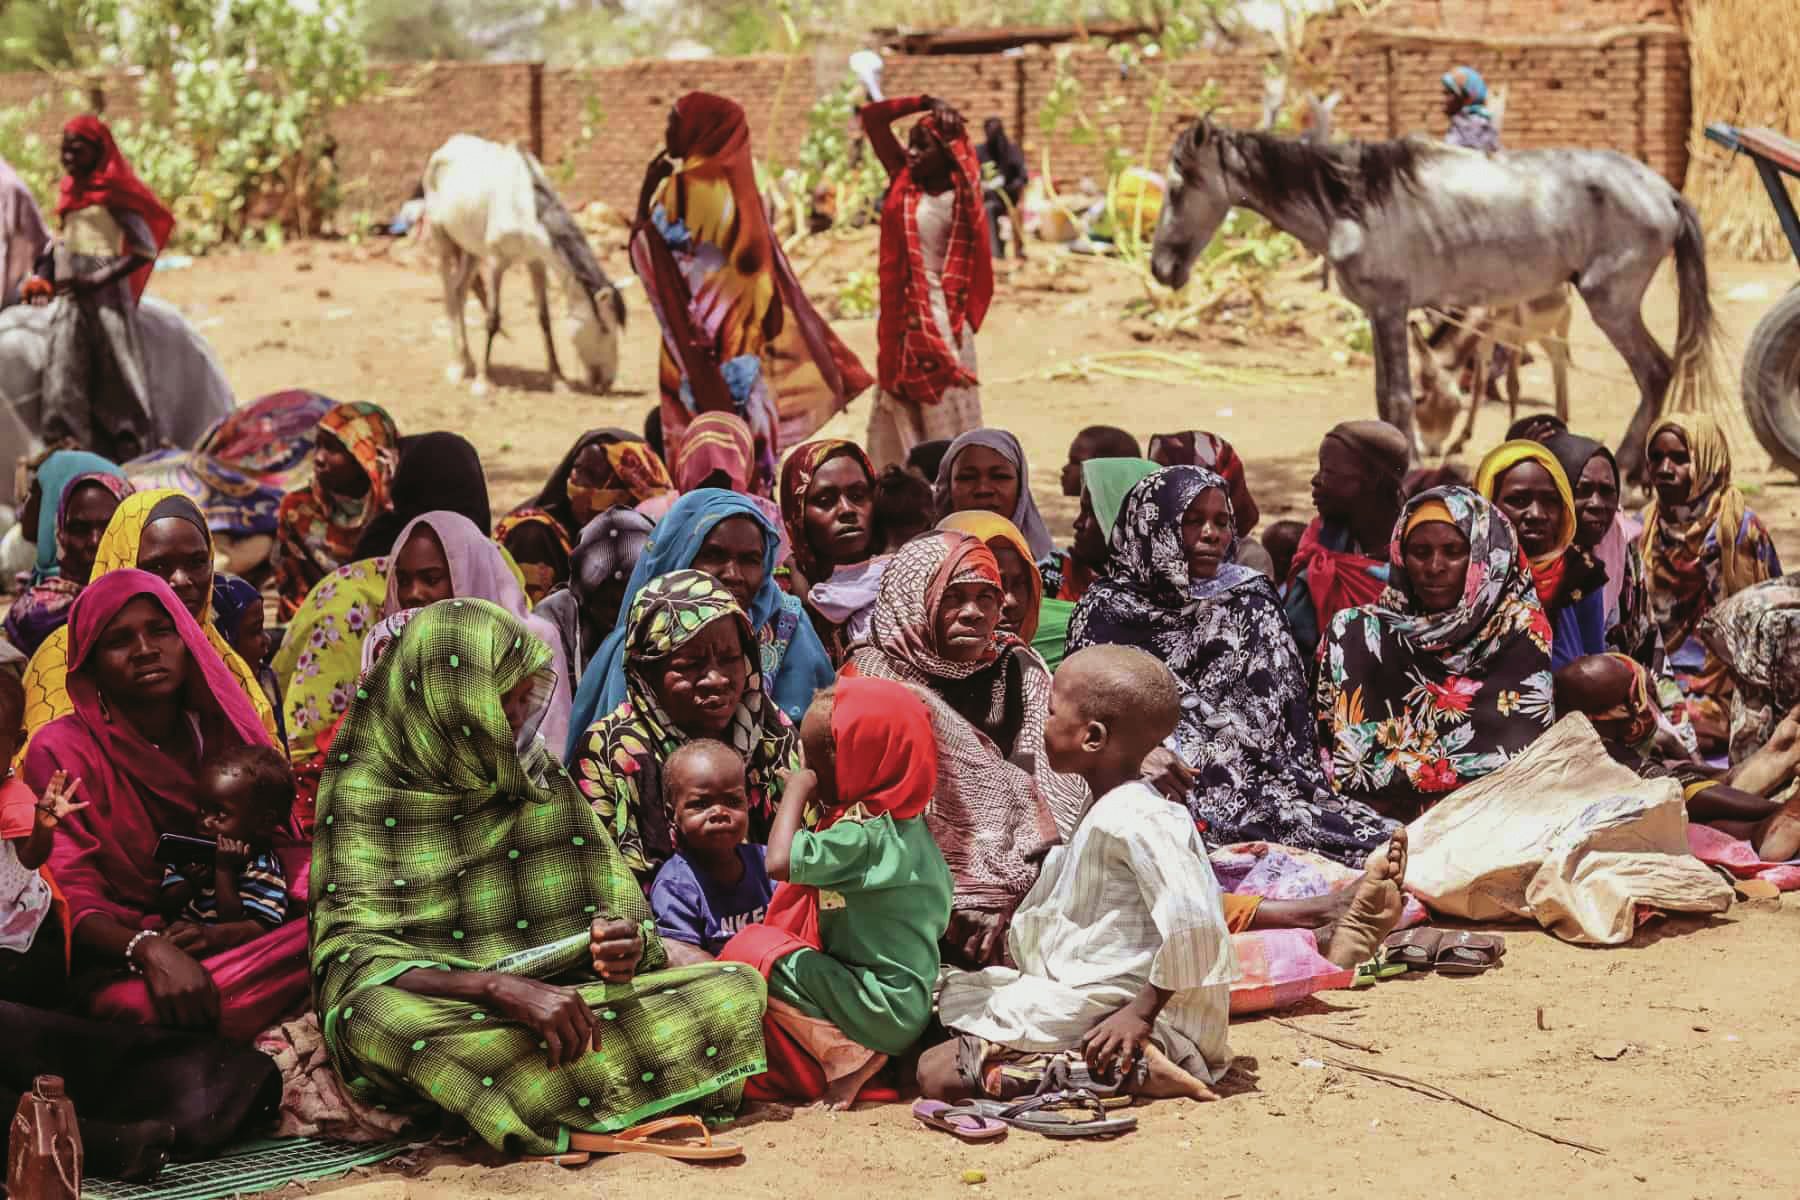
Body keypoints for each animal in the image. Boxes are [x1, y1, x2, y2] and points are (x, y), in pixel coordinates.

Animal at [421, 132, 626, 394]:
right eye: (604, 328)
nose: (607, 382)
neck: (522, 205)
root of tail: (446, 146)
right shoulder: (496, 262)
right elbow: (492, 319)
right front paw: (482, 382)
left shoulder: (536, 262)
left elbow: (544, 319)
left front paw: (558, 379)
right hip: (442, 239)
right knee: (449, 296)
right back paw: (457, 366)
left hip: (472, 250)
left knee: (460, 292)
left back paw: (467, 359)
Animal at [1152, 120, 1713, 478]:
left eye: (1180, 184)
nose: (1161, 268)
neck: (1350, 204)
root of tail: (1663, 191)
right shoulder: (1380, 313)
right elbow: (1386, 397)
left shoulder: (1389, 308)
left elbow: (1397, 397)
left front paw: (1411, 470)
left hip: (1610, 304)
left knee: (1656, 372)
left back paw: (1629, 472)